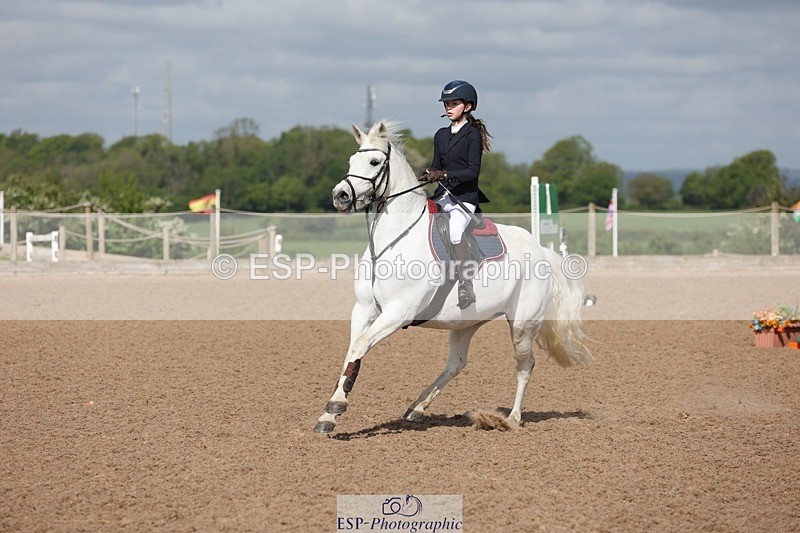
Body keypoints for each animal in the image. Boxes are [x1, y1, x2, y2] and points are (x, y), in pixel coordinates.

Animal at [313, 121, 593, 434]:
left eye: (374, 162)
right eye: (351, 161)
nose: (340, 196)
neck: (393, 239)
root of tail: (542, 249)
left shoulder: (398, 312)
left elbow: (361, 346)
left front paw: (336, 406)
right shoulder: (363, 309)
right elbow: (352, 352)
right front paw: (328, 415)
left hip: (522, 324)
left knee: (525, 365)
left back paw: (512, 419)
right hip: (466, 323)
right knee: (456, 363)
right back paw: (417, 406)